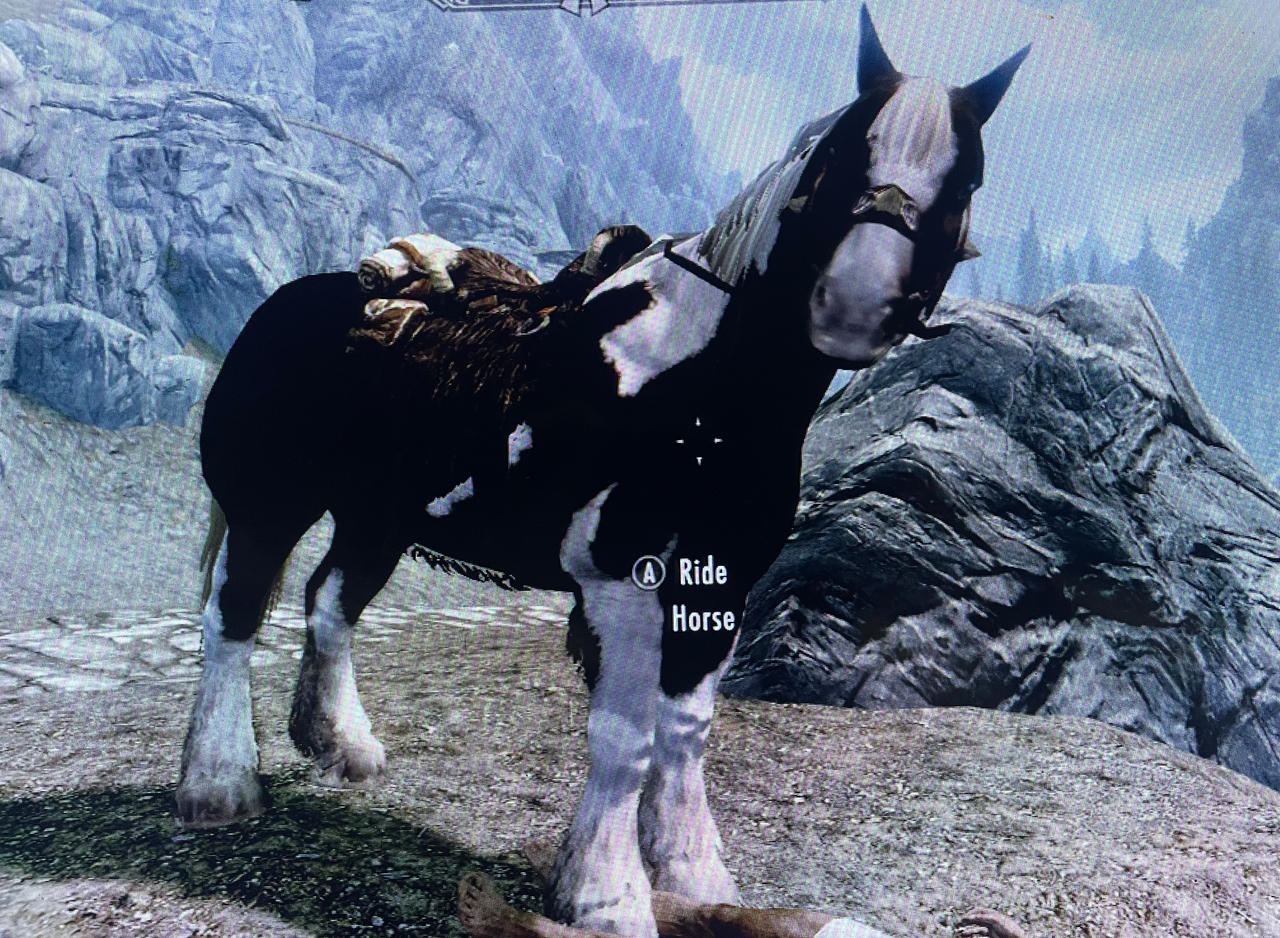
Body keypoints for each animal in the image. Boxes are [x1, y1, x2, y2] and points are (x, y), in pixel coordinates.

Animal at [175, 8, 1028, 936]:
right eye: (842, 152)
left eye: (967, 175)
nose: (853, 307)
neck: (701, 383)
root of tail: (283, 305)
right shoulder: (624, 583)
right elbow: (626, 739)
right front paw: (607, 897)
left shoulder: (716, 589)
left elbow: (685, 732)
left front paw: (693, 878)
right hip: (269, 504)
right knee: (234, 616)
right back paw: (217, 787)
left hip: (378, 518)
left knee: (329, 602)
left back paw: (344, 748)